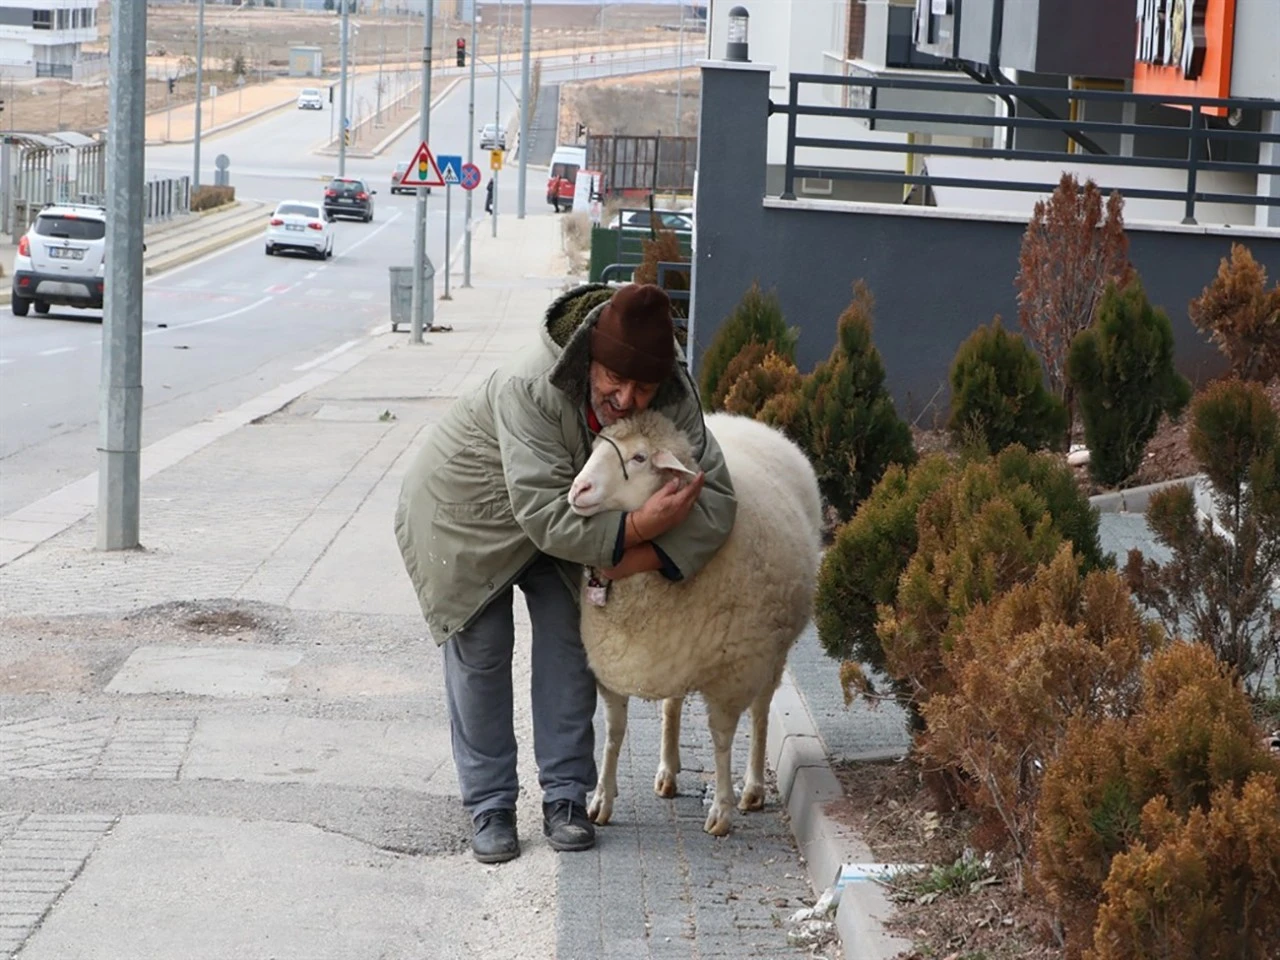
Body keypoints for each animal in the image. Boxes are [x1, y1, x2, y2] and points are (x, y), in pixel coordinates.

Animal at [568, 409, 824, 839]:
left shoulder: (732, 674)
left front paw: (721, 810)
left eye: (639, 458)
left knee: (760, 712)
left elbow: (721, 740)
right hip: (679, 647)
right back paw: (668, 772)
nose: (578, 489)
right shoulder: (611, 664)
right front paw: (601, 798)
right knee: (672, 705)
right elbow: (614, 734)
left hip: (771, 653)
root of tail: (748, 422)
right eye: (596, 445)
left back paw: (752, 788)